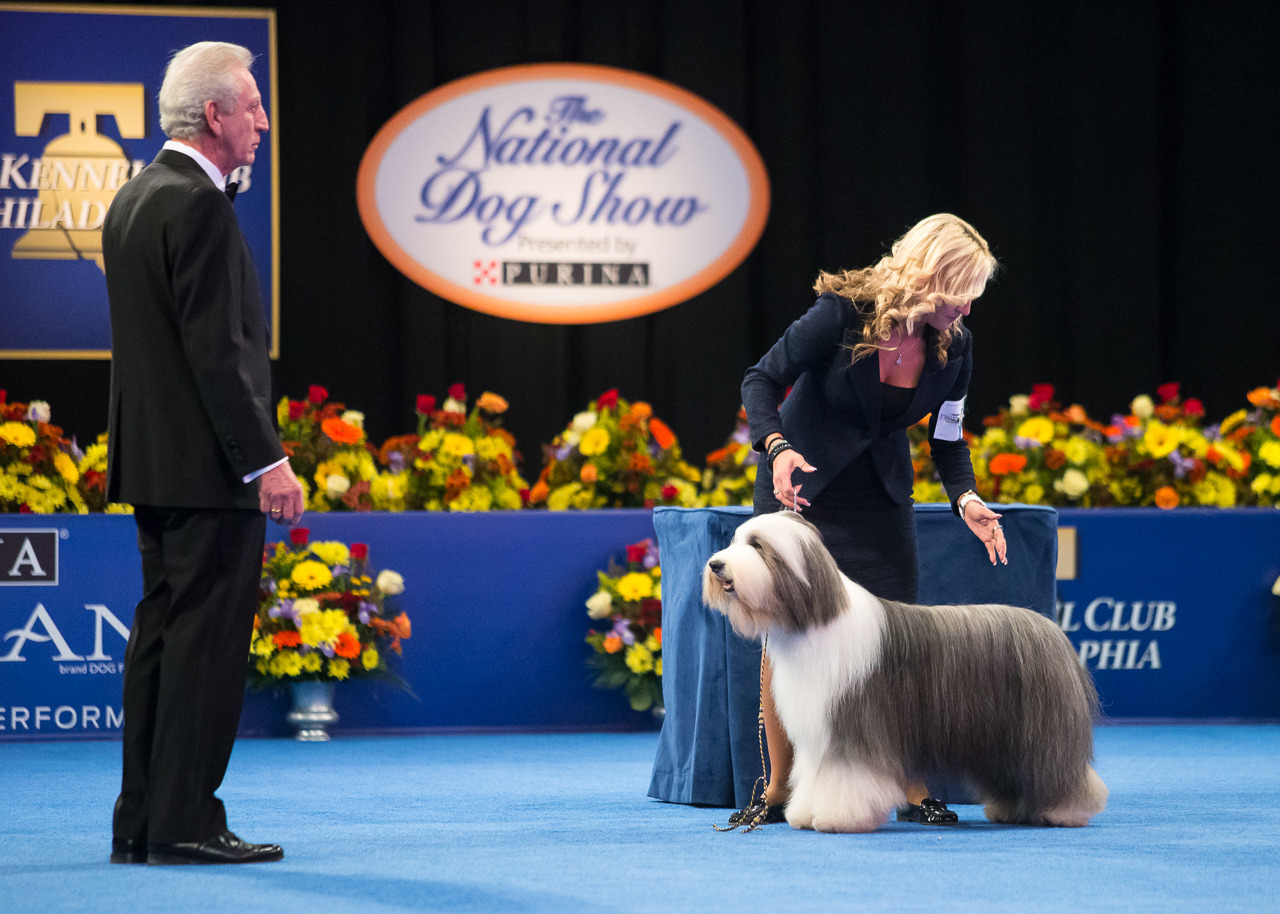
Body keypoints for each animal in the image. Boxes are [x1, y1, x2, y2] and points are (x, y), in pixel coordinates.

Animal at [706, 509, 1105, 829]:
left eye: (758, 546)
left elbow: (846, 776)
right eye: (737, 540)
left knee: (1057, 770)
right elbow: (815, 775)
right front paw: (804, 812)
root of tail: (1049, 626)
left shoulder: (854, 725)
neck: (816, 618)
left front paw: (837, 817)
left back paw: (1063, 810)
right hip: (1002, 737)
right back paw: (1010, 811)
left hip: (1041, 731)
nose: (714, 565)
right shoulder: (818, 730)